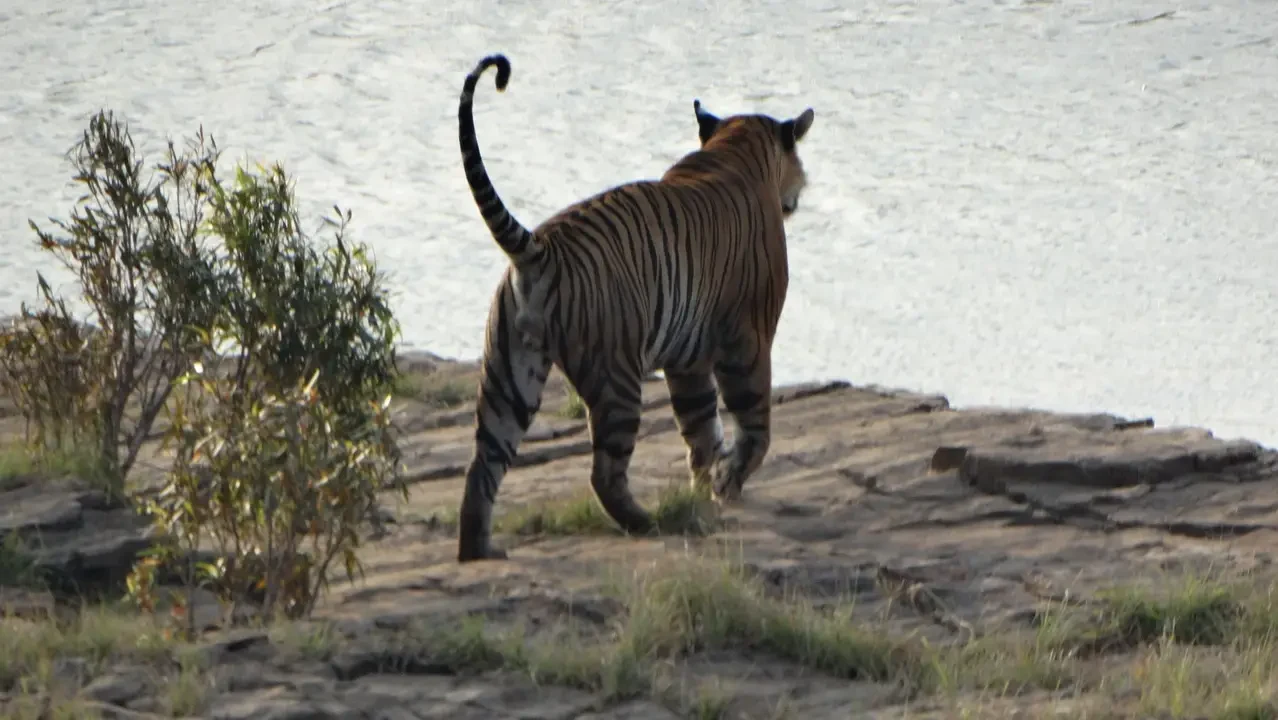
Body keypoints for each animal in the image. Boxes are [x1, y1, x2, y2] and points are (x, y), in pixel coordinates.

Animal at [454, 53, 816, 562]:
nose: (800, 190)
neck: (734, 145)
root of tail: (540, 248)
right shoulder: (748, 338)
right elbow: (754, 425)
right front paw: (727, 484)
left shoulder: (688, 359)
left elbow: (702, 428)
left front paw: (706, 488)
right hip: (616, 379)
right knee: (604, 473)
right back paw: (647, 522)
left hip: (509, 376)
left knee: (482, 465)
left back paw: (479, 550)